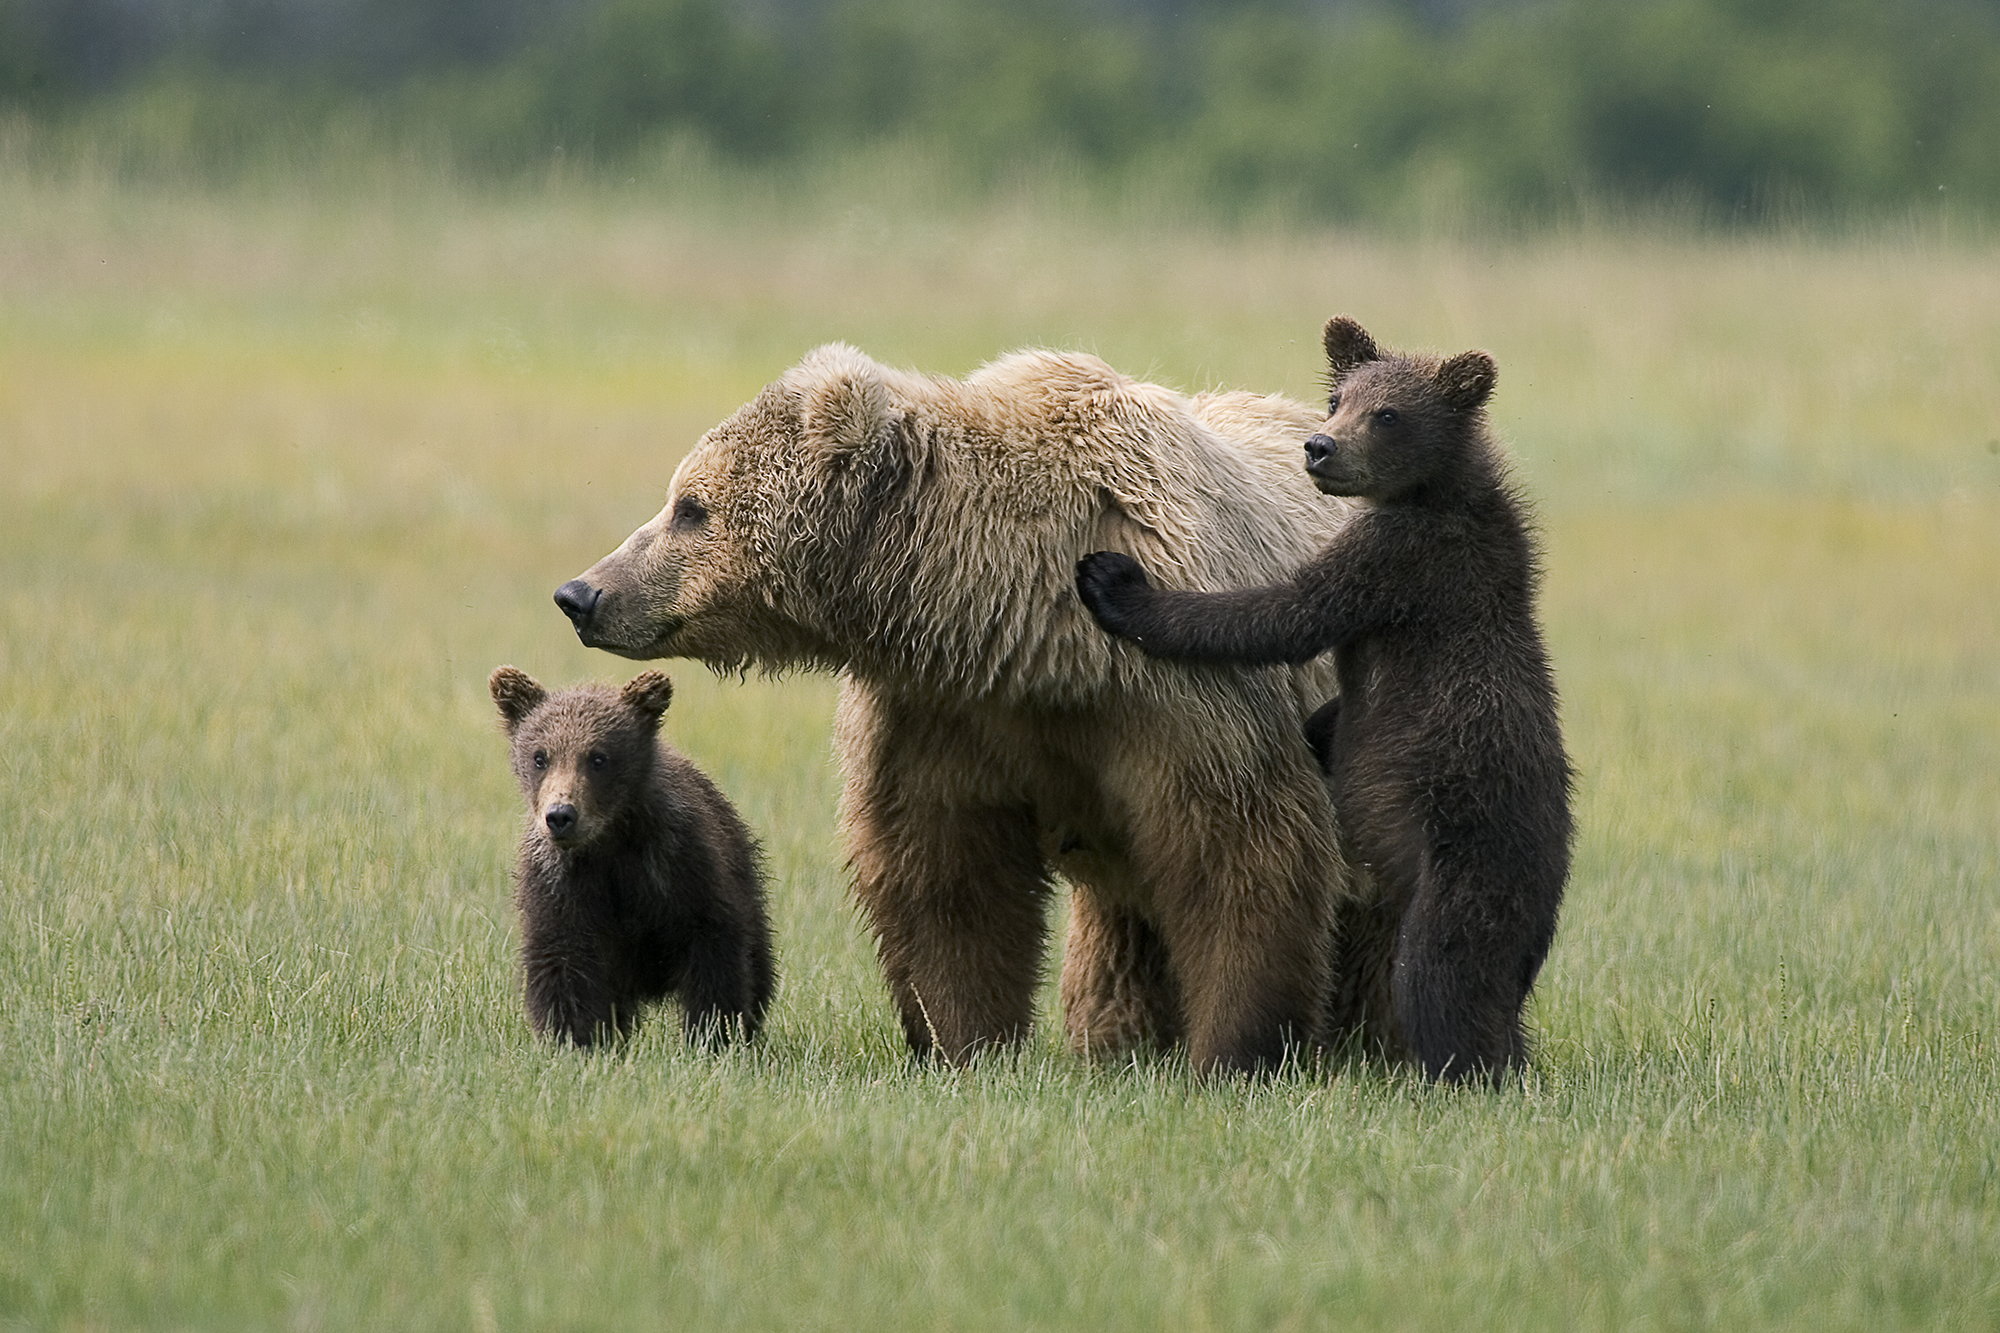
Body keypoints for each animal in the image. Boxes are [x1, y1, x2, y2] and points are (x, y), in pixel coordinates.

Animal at [488, 660, 776, 1040]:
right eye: (540, 756)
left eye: (598, 757)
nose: (561, 815)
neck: (610, 841)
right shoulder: (562, 886)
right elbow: (563, 966)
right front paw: (577, 1039)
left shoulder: (679, 865)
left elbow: (714, 956)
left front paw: (712, 1033)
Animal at [556, 340, 1352, 1072]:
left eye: (691, 507)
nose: (581, 593)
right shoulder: (943, 714)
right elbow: (948, 882)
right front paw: (965, 1040)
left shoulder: (1183, 689)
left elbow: (1239, 857)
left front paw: (1239, 1049)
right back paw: (1115, 1041)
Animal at [1088, 316, 1568, 1088]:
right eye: (1338, 398)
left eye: (1388, 413)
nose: (1320, 446)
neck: (1431, 493)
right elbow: (1324, 700)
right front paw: (1318, 728)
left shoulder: (1398, 564)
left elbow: (1282, 612)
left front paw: (1115, 581)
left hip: (1468, 868)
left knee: (1438, 977)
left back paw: (1456, 1074)